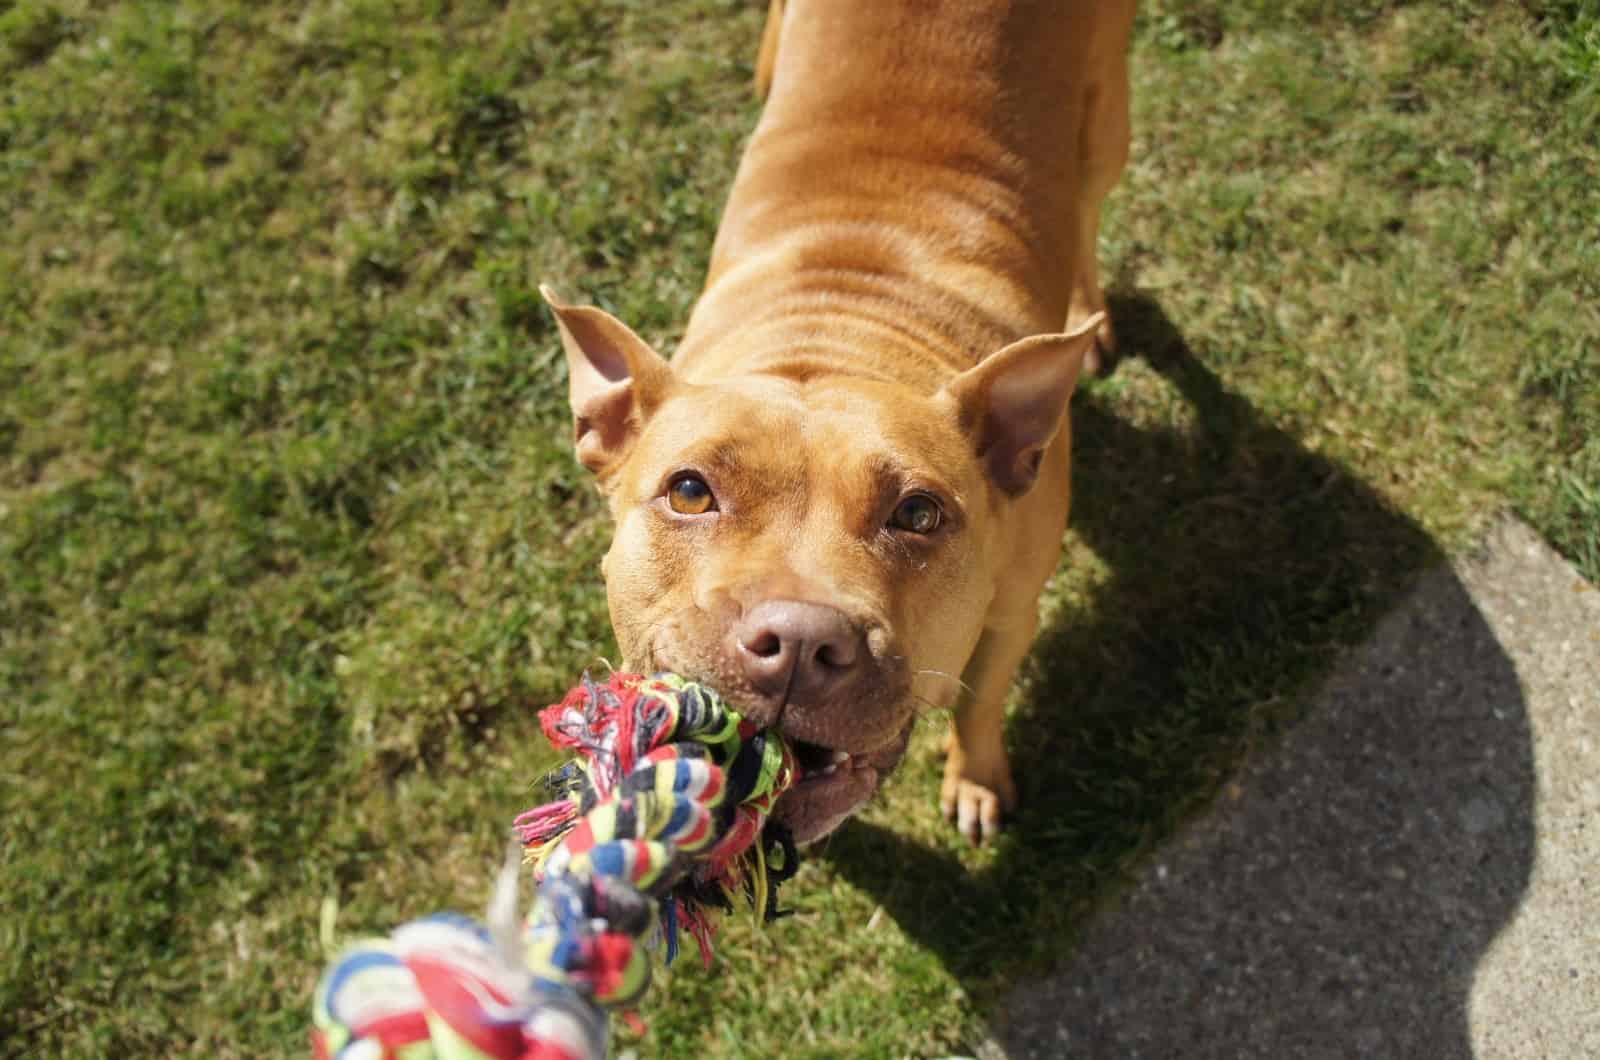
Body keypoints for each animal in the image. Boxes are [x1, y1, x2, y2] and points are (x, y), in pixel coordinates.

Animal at [547, 0, 1139, 845]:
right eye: (689, 492)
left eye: (919, 513)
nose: (799, 640)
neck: (838, 328)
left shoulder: (1012, 612)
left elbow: (979, 702)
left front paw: (975, 779)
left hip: (1105, 125)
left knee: (1087, 213)